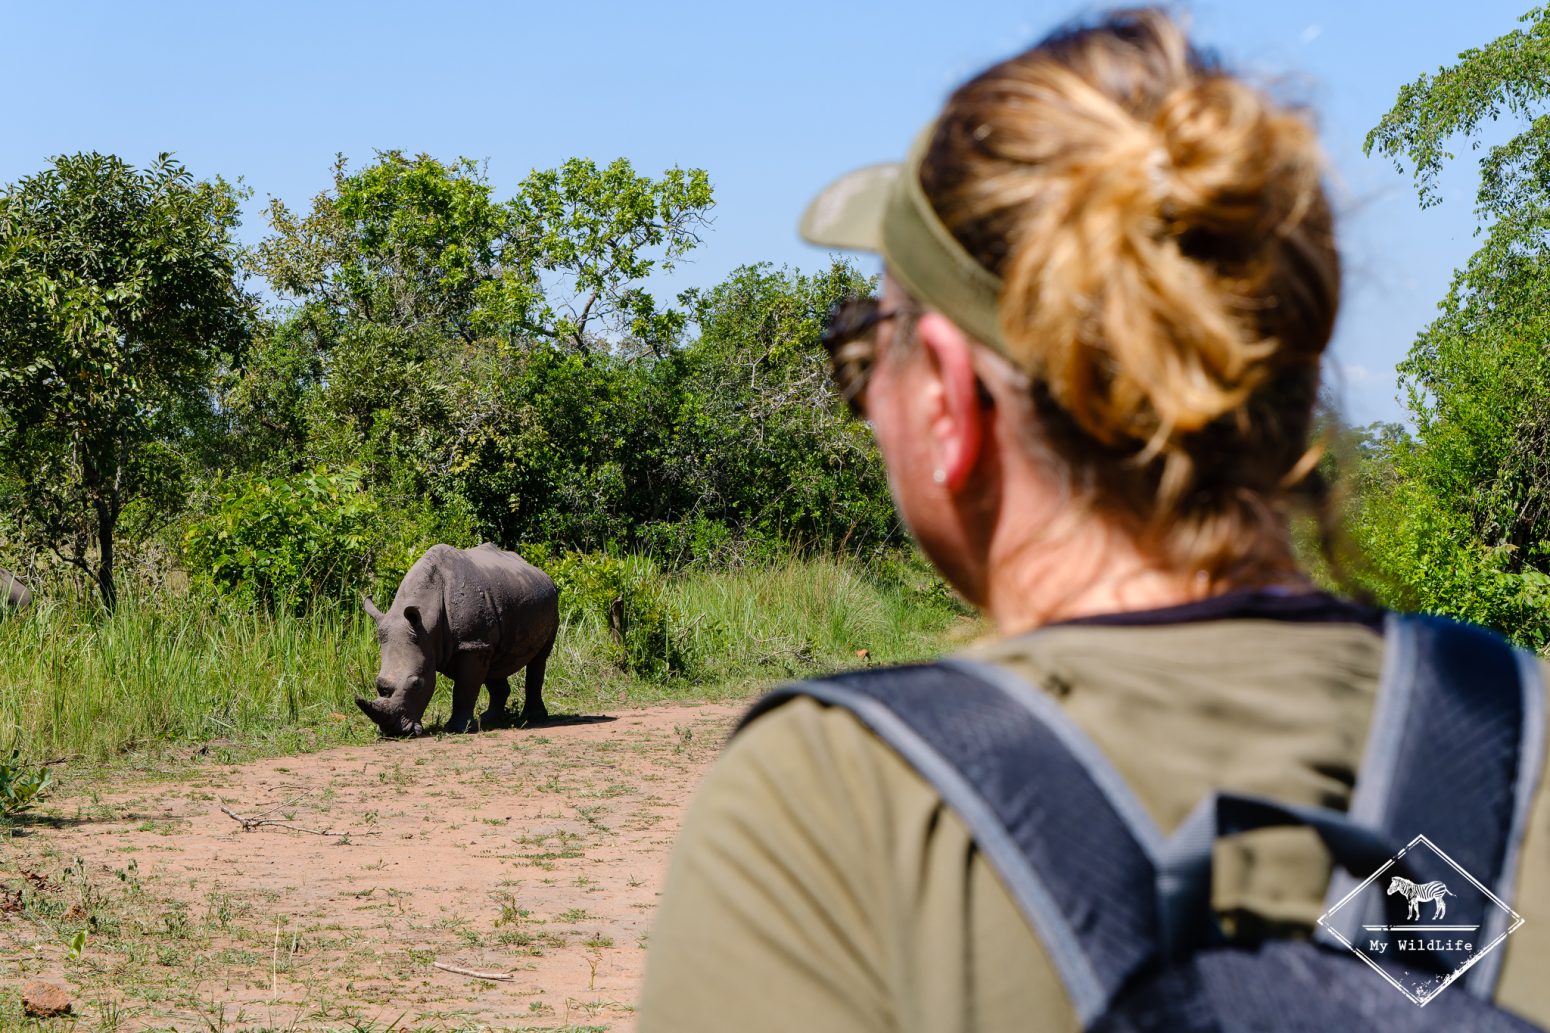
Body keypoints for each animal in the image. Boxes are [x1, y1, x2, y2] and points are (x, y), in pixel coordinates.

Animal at [355, 543, 558, 737]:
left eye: (417, 684)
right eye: (378, 684)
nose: (395, 732)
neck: (428, 624)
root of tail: (542, 573)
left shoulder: (471, 644)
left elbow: (464, 689)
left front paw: (457, 729)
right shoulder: (470, 643)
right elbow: (472, 681)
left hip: (551, 599)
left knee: (539, 659)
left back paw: (533, 718)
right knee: (494, 661)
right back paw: (489, 719)